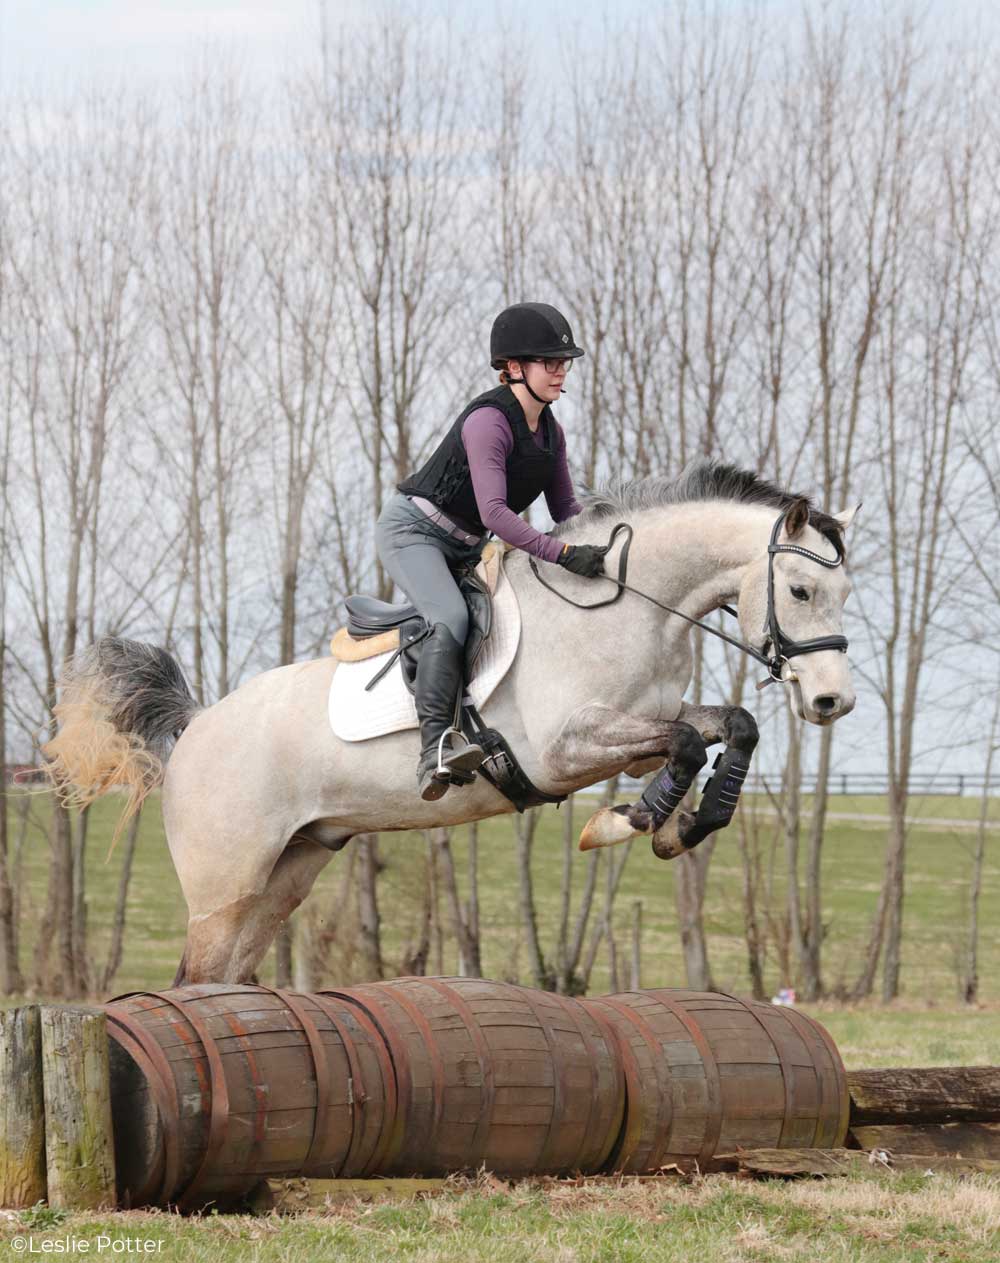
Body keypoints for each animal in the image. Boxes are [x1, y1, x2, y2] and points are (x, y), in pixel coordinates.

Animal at [44, 464, 858, 985]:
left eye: (844, 592)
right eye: (800, 589)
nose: (832, 703)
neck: (630, 605)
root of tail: (196, 723)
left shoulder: (638, 723)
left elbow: (733, 725)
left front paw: (681, 826)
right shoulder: (569, 747)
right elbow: (687, 742)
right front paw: (629, 823)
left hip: (287, 870)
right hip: (224, 886)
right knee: (196, 979)